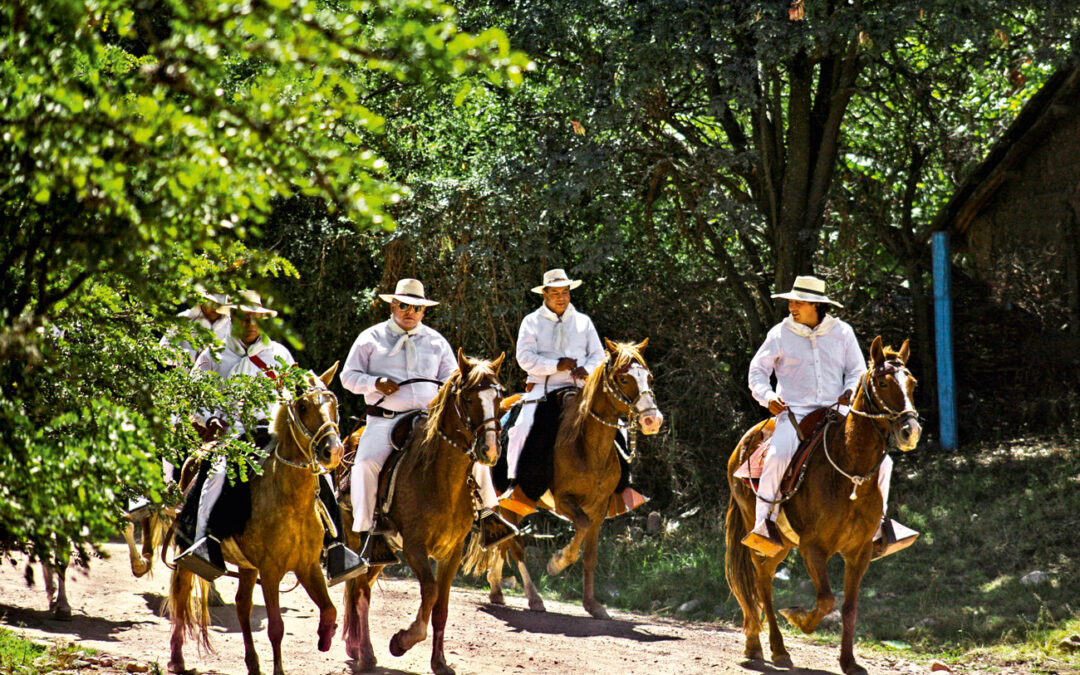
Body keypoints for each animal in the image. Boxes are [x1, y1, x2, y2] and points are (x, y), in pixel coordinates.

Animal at [167, 364, 345, 675]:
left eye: (333, 405)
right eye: (303, 406)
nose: (332, 451)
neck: (291, 502)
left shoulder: (307, 566)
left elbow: (330, 609)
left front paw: (325, 636)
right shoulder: (271, 572)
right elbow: (276, 627)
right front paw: (279, 670)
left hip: (248, 567)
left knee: (242, 605)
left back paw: (252, 663)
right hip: (187, 555)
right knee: (181, 593)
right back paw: (177, 658)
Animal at [340, 350, 504, 675]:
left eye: (498, 396)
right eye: (468, 398)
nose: (490, 450)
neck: (438, 477)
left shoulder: (452, 552)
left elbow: (441, 605)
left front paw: (439, 662)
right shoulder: (415, 547)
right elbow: (429, 591)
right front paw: (402, 641)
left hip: (381, 551)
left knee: (363, 589)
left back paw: (358, 649)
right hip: (360, 540)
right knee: (360, 590)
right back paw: (364, 655)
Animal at [465, 338, 663, 619]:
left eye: (649, 377)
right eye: (624, 379)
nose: (651, 419)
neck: (587, 446)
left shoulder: (599, 507)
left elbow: (590, 555)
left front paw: (592, 605)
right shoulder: (564, 501)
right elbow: (580, 525)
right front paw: (557, 563)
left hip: (511, 504)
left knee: (504, 540)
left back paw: (496, 589)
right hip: (507, 500)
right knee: (516, 545)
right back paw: (533, 597)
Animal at [725, 336, 921, 675]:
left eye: (912, 382)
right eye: (883, 381)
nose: (910, 431)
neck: (848, 471)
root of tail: (743, 444)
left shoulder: (859, 552)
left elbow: (848, 605)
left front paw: (849, 662)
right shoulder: (812, 548)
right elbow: (826, 599)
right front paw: (798, 618)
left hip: (783, 546)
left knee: (763, 581)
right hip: (766, 540)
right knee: (761, 581)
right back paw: (770, 648)